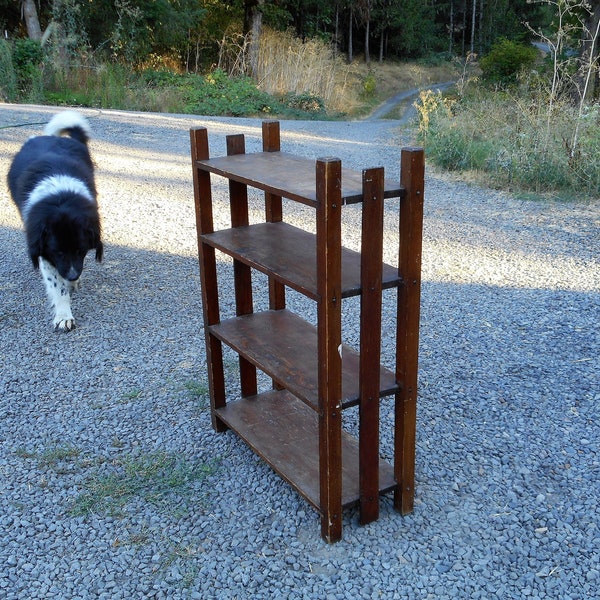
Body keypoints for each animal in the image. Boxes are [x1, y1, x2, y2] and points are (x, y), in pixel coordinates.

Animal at [7, 110, 103, 330]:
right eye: (58, 251)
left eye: (81, 250)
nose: (73, 276)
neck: (61, 200)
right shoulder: (43, 247)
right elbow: (56, 285)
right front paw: (63, 314)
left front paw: (72, 284)